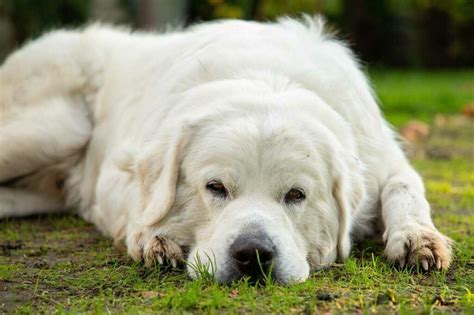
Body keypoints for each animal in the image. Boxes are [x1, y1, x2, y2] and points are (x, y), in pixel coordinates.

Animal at [0, 16, 452, 286]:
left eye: (296, 195)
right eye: (215, 188)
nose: (253, 255)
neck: (266, 78)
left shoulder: (384, 160)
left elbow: (406, 188)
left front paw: (418, 237)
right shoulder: (114, 172)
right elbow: (137, 205)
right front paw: (154, 239)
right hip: (55, 130)